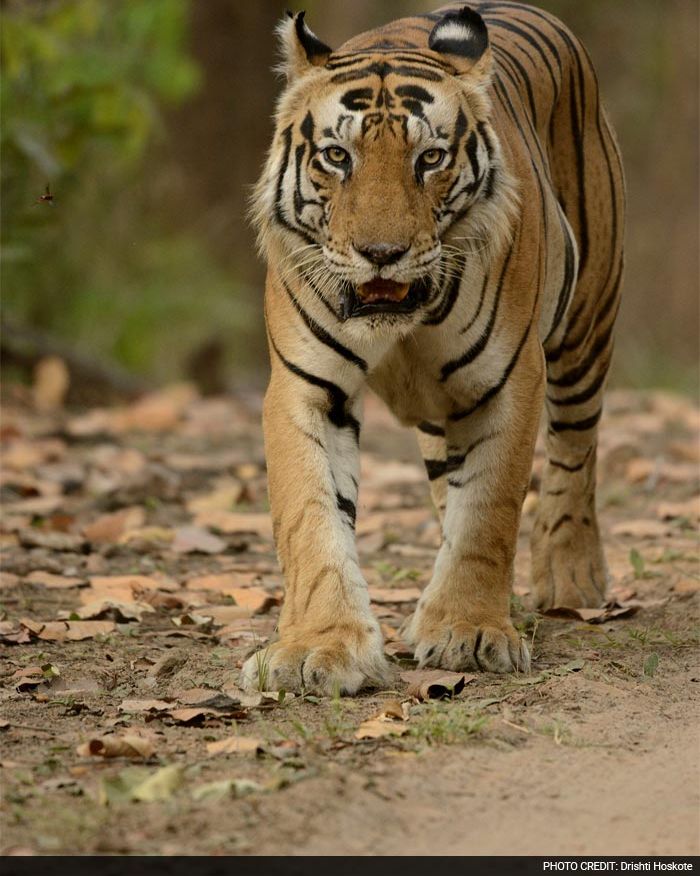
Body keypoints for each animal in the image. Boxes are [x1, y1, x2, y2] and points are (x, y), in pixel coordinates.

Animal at [241, 3, 624, 696]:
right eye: (337, 156)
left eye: (431, 158)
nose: (381, 253)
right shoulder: (306, 389)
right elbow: (311, 519)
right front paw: (316, 648)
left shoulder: (509, 382)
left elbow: (488, 513)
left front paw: (469, 631)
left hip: (587, 327)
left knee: (575, 452)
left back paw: (572, 579)